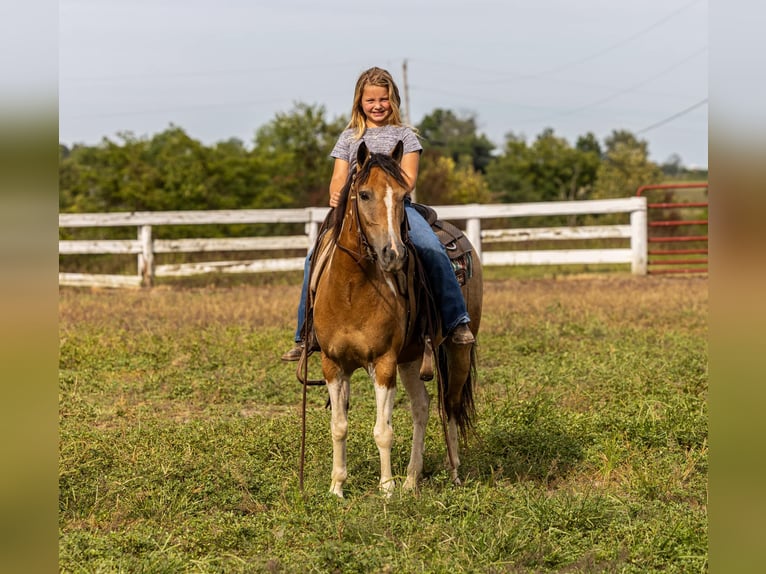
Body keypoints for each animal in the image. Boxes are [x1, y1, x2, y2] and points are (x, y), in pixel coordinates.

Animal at [309, 140, 483, 498]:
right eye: (363, 194)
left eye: (403, 196)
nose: (394, 254)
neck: (351, 291)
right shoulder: (333, 364)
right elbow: (339, 426)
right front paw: (337, 487)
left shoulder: (384, 362)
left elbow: (383, 430)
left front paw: (386, 488)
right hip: (413, 357)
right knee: (423, 406)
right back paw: (412, 479)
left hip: (456, 351)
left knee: (451, 404)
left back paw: (453, 472)